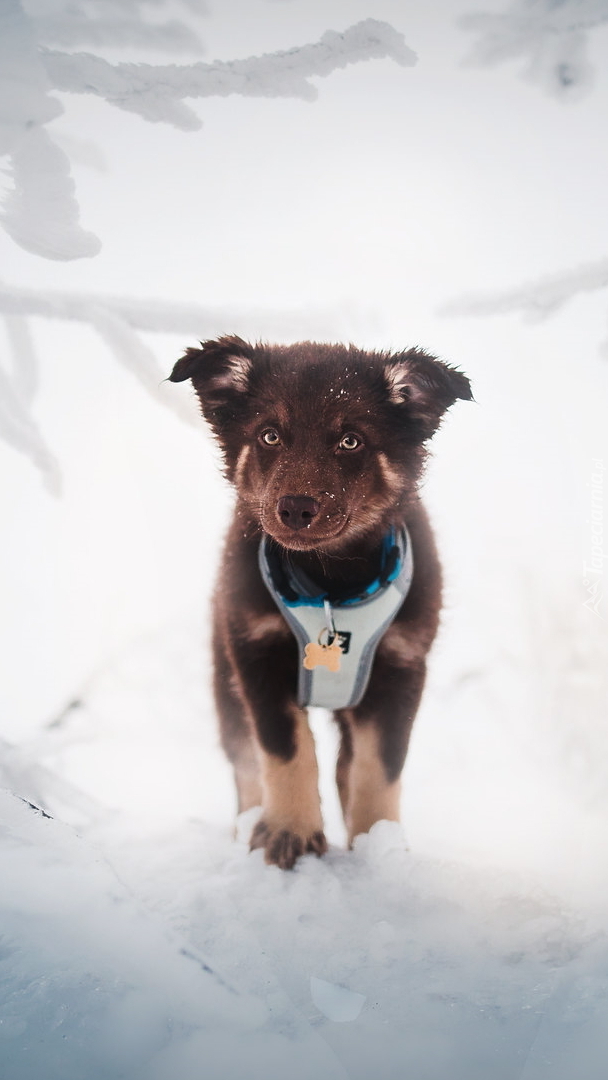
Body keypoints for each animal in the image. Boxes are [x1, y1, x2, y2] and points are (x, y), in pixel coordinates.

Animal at [168, 336, 473, 868]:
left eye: (350, 441)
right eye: (269, 436)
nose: (295, 508)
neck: (332, 581)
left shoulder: (401, 664)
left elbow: (379, 767)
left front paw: (379, 849)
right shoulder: (257, 652)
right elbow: (286, 750)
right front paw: (289, 831)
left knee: (346, 767)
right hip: (226, 680)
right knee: (245, 761)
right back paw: (252, 825)